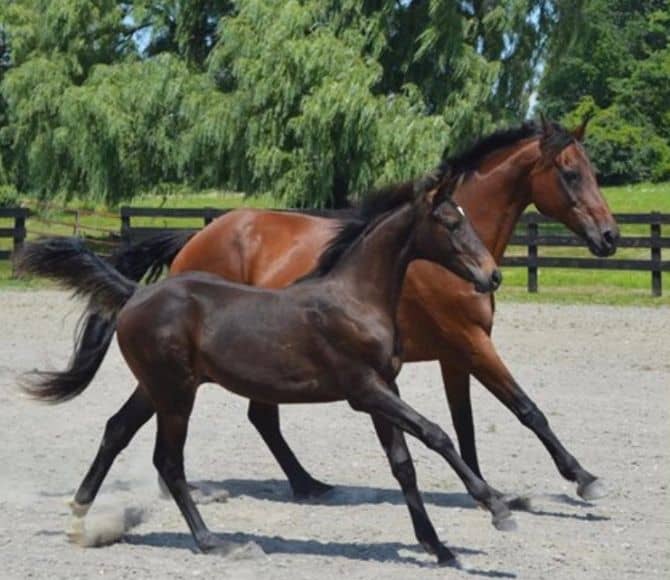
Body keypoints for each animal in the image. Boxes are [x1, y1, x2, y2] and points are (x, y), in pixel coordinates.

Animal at [18, 180, 510, 560]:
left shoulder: (385, 388)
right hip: (176, 394)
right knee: (169, 460)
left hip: (156, 387)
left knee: (117, 430)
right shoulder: (365, 390)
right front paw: (497, 507)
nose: (493, 276)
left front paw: (437, 547)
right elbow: (436, 434)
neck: (354, 299)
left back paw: (79, 521)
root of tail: (135, 294)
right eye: (450, 223)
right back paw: (214, 542)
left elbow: (403, 464)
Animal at [39, 116, 620, 502]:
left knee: (248, 418)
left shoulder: (457, 354)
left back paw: (305, 483)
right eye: (571, 173)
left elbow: (467, 422)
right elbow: (526, 409)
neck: (432, 257)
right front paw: (583, 479)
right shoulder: (471, 344)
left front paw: (486, 488)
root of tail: (198, 236)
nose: (610, 237)